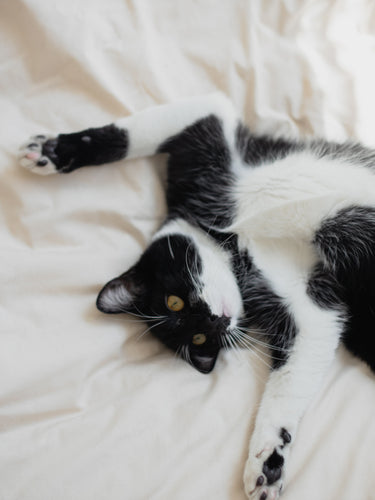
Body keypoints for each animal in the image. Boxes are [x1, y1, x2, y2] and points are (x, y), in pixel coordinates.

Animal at [19, 94, 375, 500]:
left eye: (174, 302)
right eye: (200, 339)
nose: (215, 320)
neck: (235, 245)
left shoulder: (209, 137)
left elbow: (135, 133)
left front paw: (54, 150)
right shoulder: (306, 302)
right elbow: (291, 377)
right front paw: (268, 458)